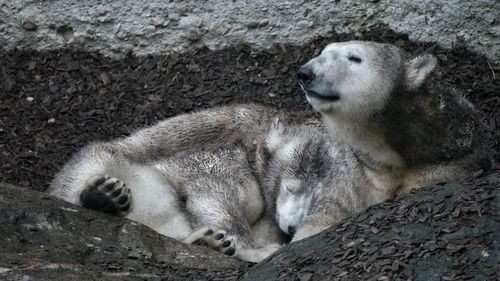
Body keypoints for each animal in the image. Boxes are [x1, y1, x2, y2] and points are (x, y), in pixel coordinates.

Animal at [48, 41, 490, 260]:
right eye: (293, 190)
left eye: (354, 57)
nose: (290, 228)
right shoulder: (230, 154)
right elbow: (216, 183)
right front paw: (258, 247)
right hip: (110, 159)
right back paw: (105, 195)